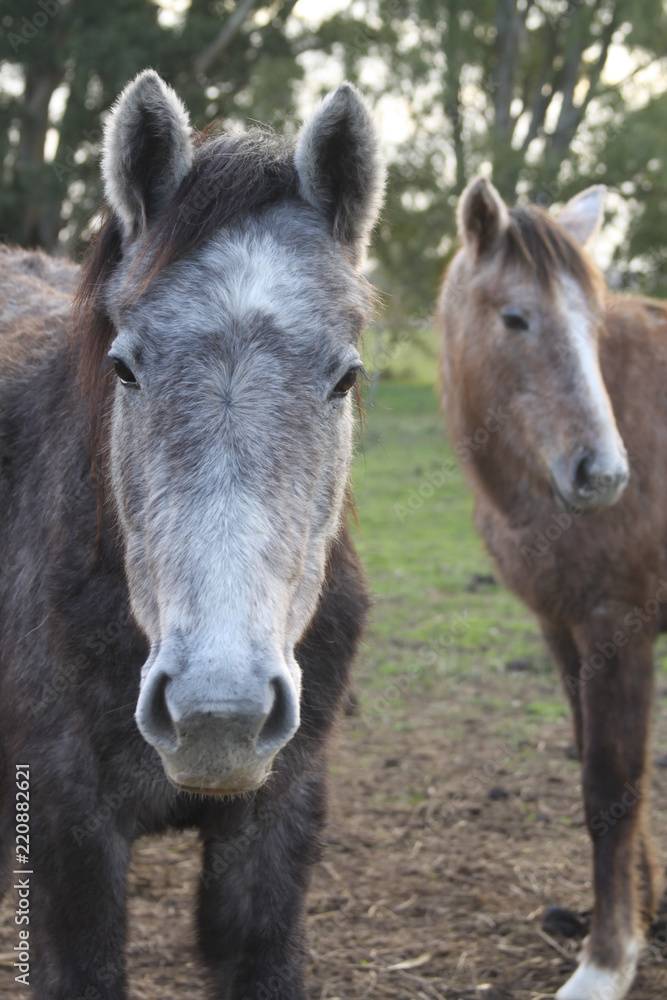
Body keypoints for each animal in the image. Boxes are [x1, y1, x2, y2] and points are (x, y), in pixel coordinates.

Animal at [438, 180, 667, 1000]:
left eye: (594, 322)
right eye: (515, 317)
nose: (601, 474)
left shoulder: (618, 627)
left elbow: (612, 783)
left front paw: (606, 960)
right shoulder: (561, 629)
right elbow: (605, 776)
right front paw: (640, 920)